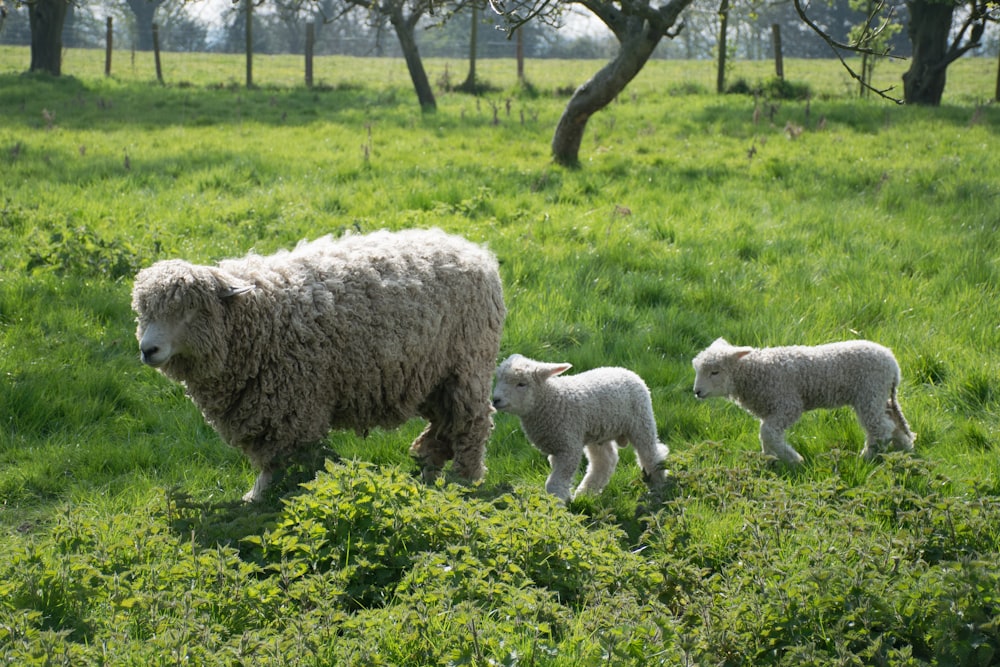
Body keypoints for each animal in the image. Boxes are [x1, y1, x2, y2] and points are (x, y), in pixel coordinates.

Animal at [131, 230, 508, 500]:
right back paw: (429, 470)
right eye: (143, 312)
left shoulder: (290, 406)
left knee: (471, 423)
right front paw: (257, 497)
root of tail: (477, 252)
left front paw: (262, 496)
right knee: (445, 424)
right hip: (430, 375)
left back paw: (464, 480)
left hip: (467, 366)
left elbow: (278, 461)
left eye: (189, 311)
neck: (260, 317)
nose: (147, 349)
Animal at [490, 354, 668, 500]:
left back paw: (658, 486)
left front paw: (556, 507)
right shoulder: (557, 448)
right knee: (604, 461)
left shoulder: (568, 446)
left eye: (521, 384)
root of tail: (625, 371)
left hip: (641, 420)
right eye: (498, 380)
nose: (495, 400)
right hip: (599, 432)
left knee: (650, 454)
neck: (550, 400)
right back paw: (586, 493)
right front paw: (563, 499)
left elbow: (554, 483)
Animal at [692, 340, 916, 464]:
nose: (697, 392)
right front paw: (769, 459)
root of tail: (893, 364)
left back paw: (867, 456)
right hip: (880, 396)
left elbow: (767, 432)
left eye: (715, 372)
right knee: (894, 422)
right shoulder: (770, 409)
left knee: (881, 427)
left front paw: (793, 459)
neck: (753, 372)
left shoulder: (788, 405)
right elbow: (766, 435)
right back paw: (904, 448)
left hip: (870, 393)